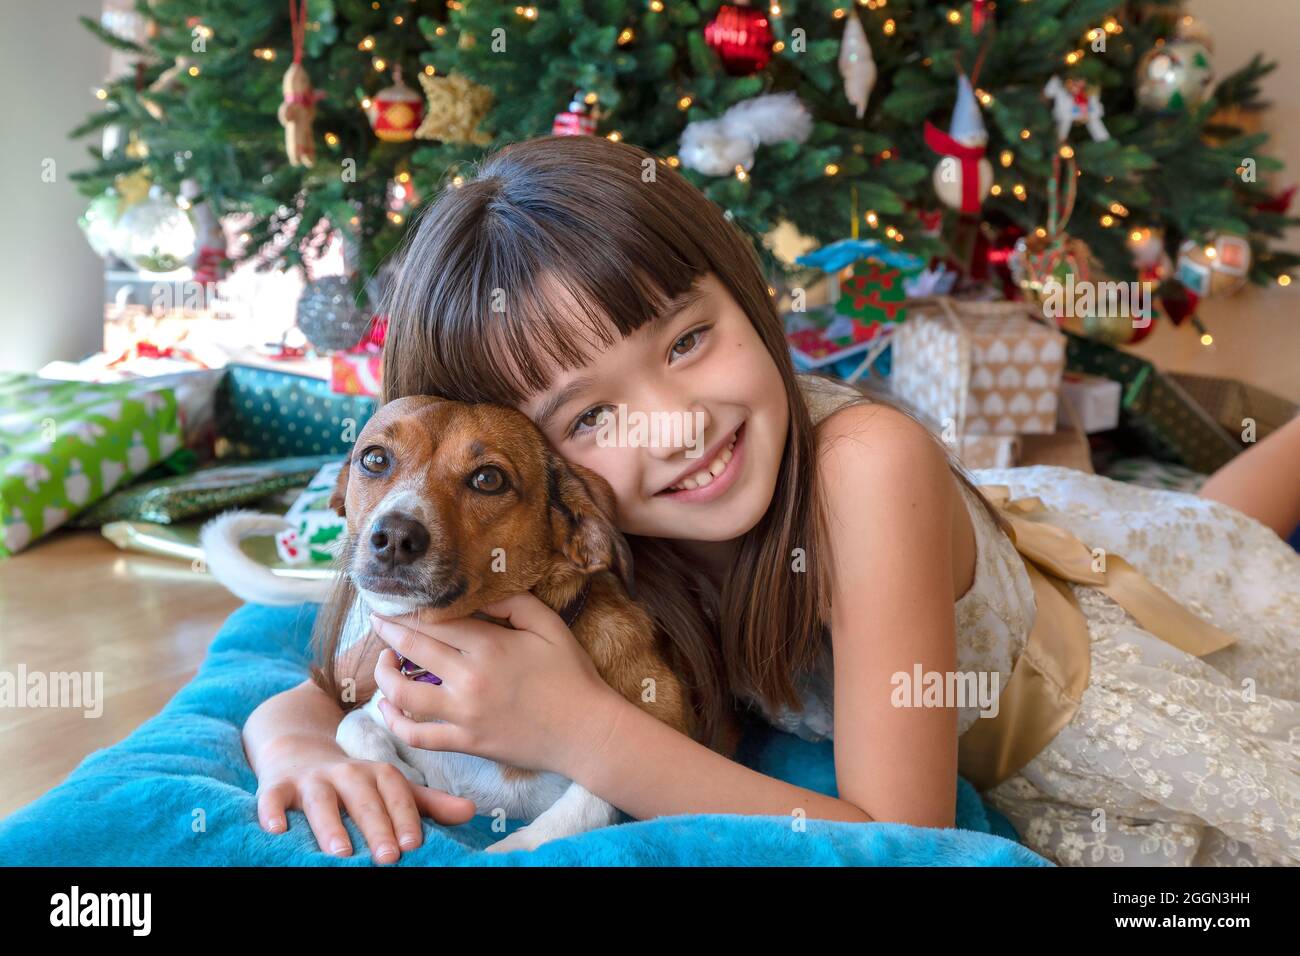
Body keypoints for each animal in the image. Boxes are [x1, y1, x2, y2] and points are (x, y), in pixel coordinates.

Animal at [200, 395, 722, 853]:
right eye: (374, 458)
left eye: (488, 479)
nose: (394, 536)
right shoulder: (380, 702)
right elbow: (353, 724)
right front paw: (404, 777)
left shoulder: (662, 732)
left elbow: (584, 802)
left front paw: (513, 846)